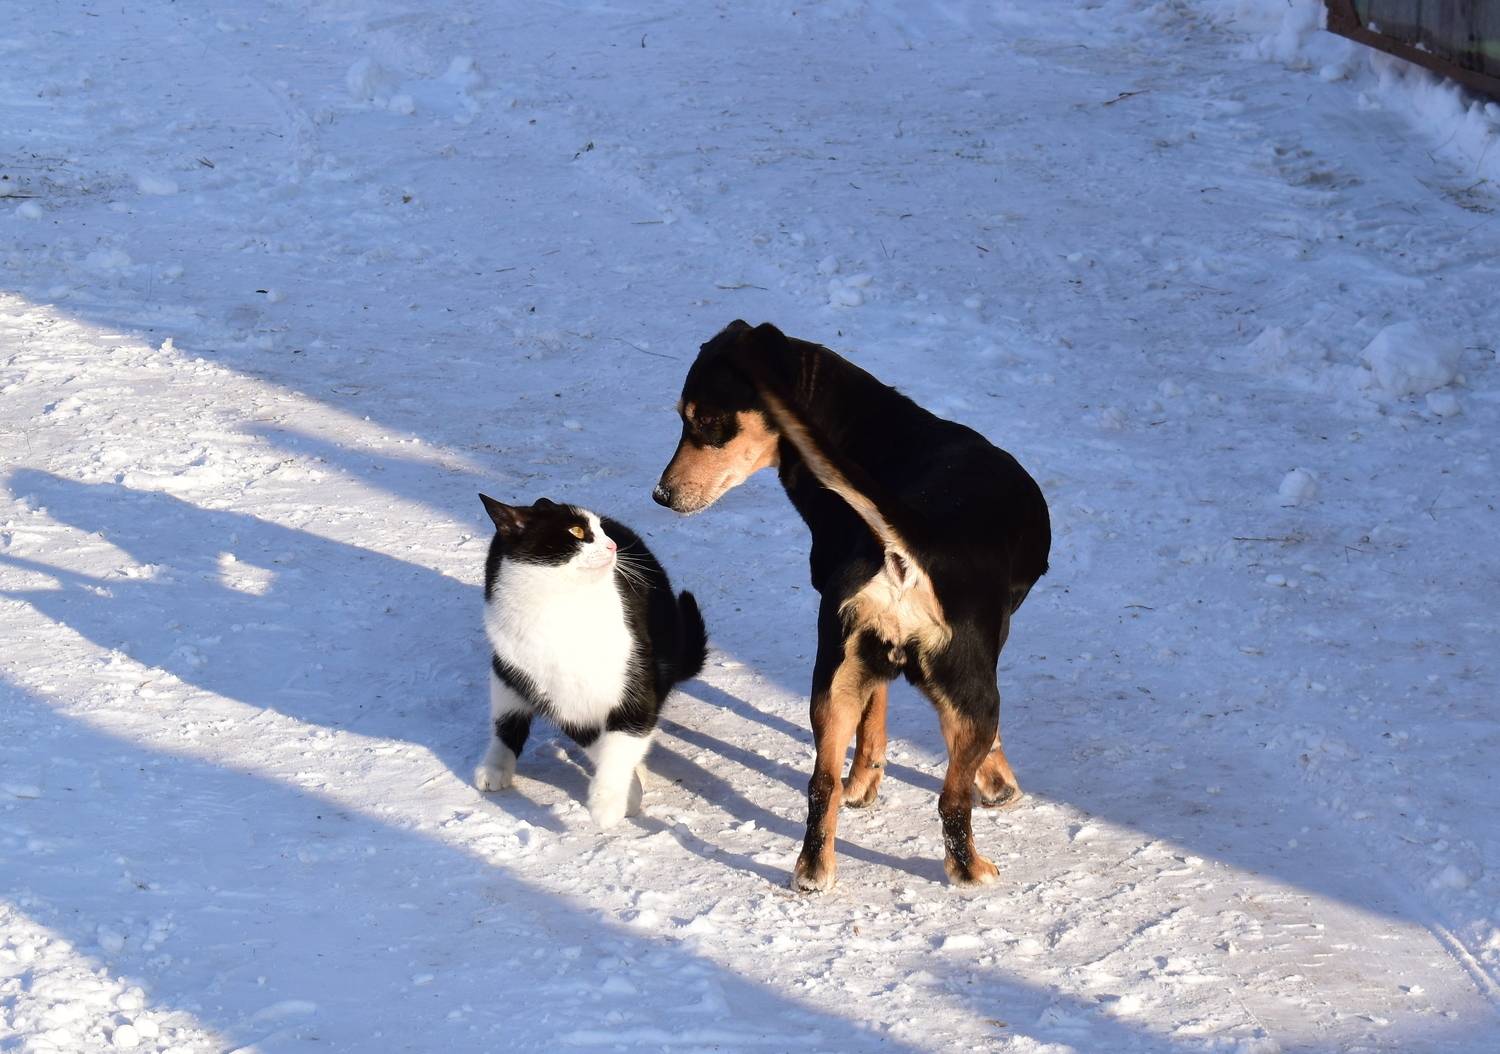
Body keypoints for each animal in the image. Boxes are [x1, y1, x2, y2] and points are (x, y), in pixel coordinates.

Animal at [473, 495, 707, 828]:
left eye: (601, 529)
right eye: (577, 531)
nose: (612, 546)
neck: (562, 614)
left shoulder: (635, 681)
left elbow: (621, 742)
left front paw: (608, 802)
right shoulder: (557, 697)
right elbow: (597, 743)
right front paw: (628, 793)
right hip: (507, 670)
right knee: (506, 721)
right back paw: (494, 767)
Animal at [653, 320, 1050, 890]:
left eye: (706, 421)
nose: (660, 495)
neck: (872, 431)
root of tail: (906, 546)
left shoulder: (863, 662)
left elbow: (873, 716)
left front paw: (864, 782)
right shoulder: (983, 662)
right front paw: (998, 782)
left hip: (833, 681)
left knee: (822, 784)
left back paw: (814, 871)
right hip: (972, 692)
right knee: (951, 800)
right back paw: (970, 870)